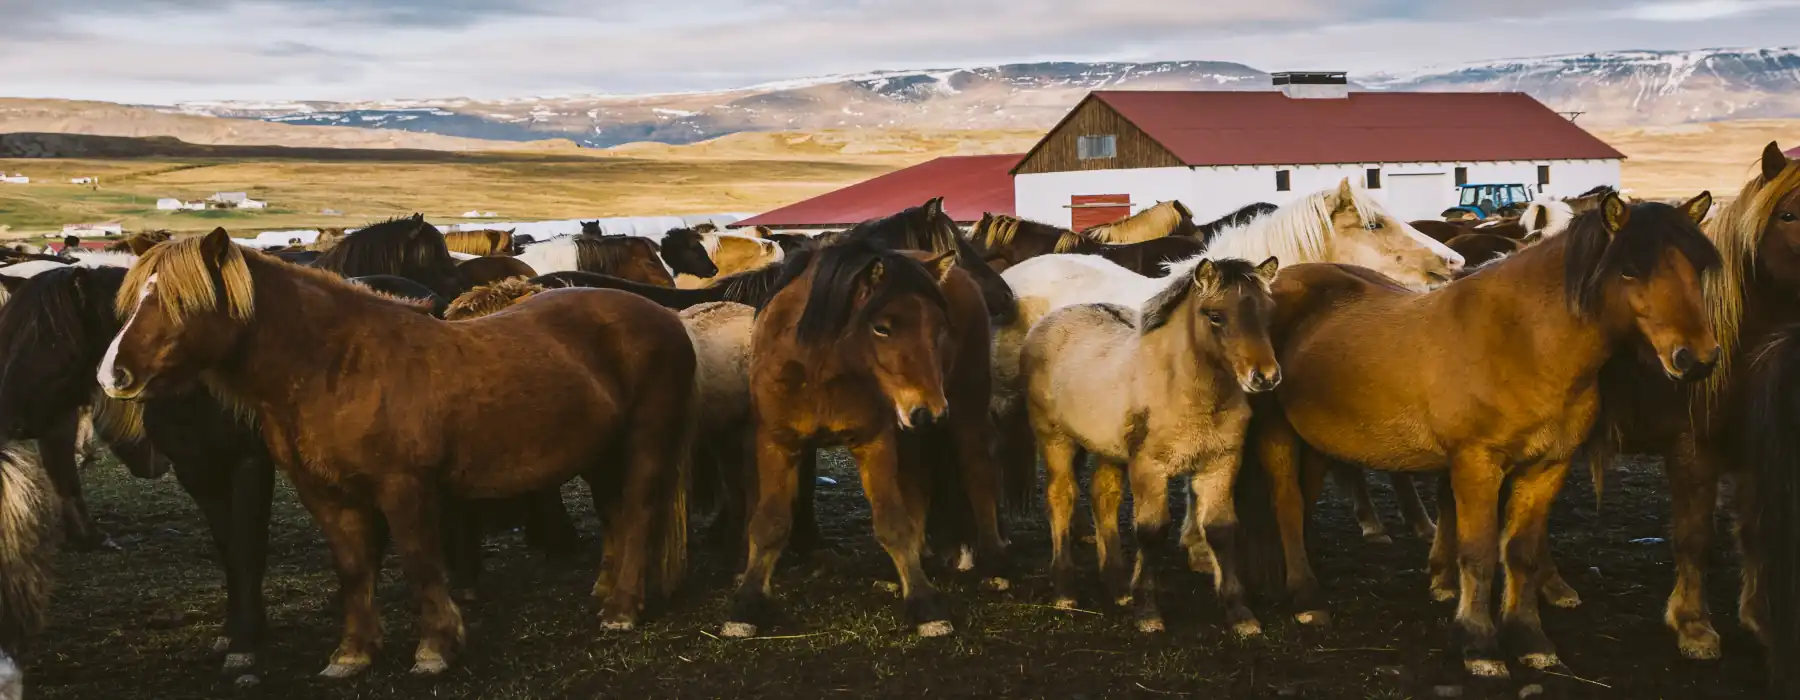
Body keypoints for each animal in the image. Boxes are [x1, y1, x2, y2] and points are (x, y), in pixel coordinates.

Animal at [97, 230, 698, 677]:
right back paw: (606, 593)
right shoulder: (326, 496)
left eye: (180, 302)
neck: (337, 367)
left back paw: (621, 611)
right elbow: (353, 568)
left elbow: (418, 562)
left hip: (645, 443)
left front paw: (436, 647)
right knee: (617, 515)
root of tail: (663, 316)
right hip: (602, 455)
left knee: (638, 514)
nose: (112, 374)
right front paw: (353, 653)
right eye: (134, 300)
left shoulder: (404, 489)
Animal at [723, 230, 1005, 639]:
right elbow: (769, 522)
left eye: (940, 329)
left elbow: (892, 521)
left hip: (966, 407)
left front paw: (925, 604)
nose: (932, 410)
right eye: (882, 327)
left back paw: (994, 563)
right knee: (917, 482)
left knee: (979, 471)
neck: (823, 369)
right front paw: (746, 604)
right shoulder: (777, 442)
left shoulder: (874, 442)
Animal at [1024, 256, 1279, 636]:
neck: (1187, 390)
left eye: (1267, 310)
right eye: (1215, 316)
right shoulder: (1149, 466)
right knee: (1061, 497)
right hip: (1054, 438)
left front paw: (1239, 613)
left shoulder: (1220, 463)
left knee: (1104, 497)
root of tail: (1050, 320)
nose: (1264, 377)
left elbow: (1220, 530)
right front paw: (1148, 611)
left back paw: (1117, 587)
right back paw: (1066, 590)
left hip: (1108, 449)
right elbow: (1152, 531)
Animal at [1240, 192, 1719, 677]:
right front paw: (1479, 644)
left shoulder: (1549, 466)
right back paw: (1306, 598)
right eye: (1629, 270)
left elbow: (1521, 553)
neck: (1523, 341)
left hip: (1316, 439)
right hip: (1279, 434)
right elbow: (1479, 553)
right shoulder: (1476, 464)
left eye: (1697, 268)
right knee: (1288, 505)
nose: (1696, 358)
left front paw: (1529, 638)